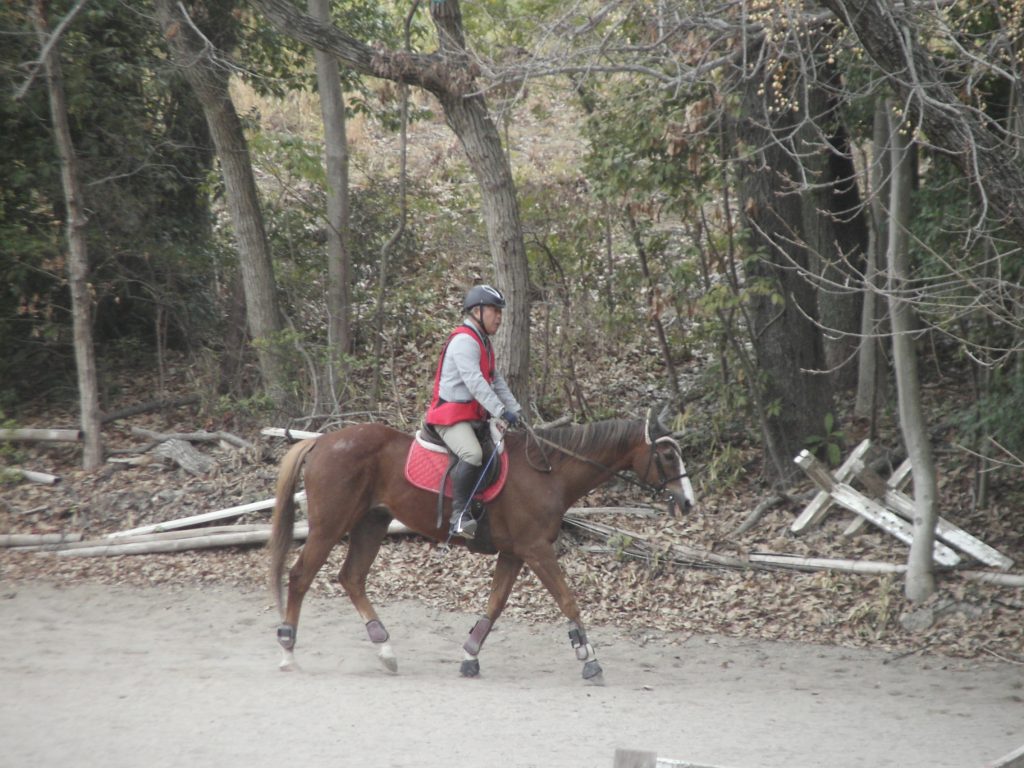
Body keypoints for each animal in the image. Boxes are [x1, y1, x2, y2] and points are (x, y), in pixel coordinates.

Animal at [268, 407, 695, 682]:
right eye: (667, 454)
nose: (689, 502)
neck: (548, 472)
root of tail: (322, 441)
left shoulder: (515, 552)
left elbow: (496, 604)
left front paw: (469, 655)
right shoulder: (536, 550)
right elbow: (567, 599)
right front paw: (588, 657)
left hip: (371, 523)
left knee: (352, 578)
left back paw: (385, 650)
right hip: (330, 525)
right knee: (300, 576)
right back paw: (287, 651)